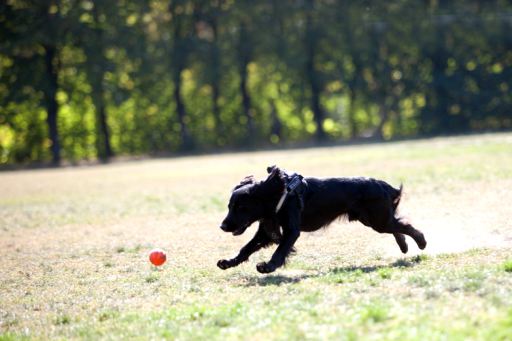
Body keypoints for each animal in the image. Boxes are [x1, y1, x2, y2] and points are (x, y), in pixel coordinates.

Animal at [218, 165, 426, 274]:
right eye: (229, 207)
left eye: (241, 208)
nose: (222, 226)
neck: (278, 194)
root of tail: (384, 186)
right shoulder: (267, 230)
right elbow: (246, 248)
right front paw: (229, 262)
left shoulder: (291, 231)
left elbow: (280, 251)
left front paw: (268, 266)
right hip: (374, 220)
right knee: (398, 226)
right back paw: (404, 246)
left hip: (377, 220)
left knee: (405, 225)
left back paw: (421, 242)